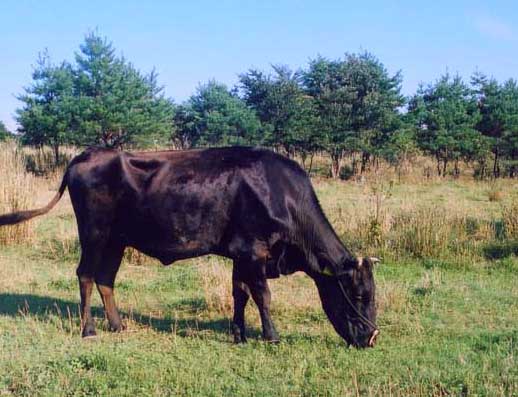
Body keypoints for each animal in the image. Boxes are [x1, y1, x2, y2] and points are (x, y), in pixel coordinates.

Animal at [0, 146, 382, 346]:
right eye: (360, 295)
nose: (371, 337)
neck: (282, 194)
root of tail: (85, 155)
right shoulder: (254, 251)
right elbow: (263, 295)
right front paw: (271, 336)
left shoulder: (240, 254)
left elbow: (240, 293)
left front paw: (239, 334)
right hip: (94, 234)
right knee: (85, 275)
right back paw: (88, 329)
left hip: (116, 241)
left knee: (106, 279)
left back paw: (117, 325)